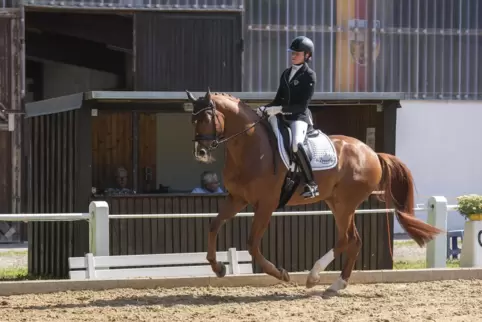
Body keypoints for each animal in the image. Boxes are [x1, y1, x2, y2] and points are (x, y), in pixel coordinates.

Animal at [186, 89, 442, 298]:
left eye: (207, 118)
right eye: (193, 119)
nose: (200, 152)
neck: (251, 148)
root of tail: (372, 152)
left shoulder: (266, 204)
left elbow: (251, 244)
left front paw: (280, 273)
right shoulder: (237, 199)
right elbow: (214, 225)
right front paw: (218, 267)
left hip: (345, 203)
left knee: (346, 239)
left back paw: (314, 276)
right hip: (337, 203)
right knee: (354, 240)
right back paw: (336, 285)